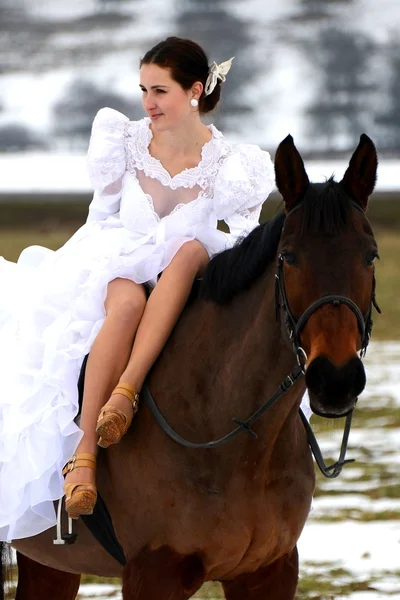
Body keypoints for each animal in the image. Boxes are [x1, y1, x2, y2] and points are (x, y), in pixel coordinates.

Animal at [0, 132, 378, 600]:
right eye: (289, 257)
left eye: (370, 256)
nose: (336, 380)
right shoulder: (153, 574)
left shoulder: (269, 571)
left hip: (50, 562)